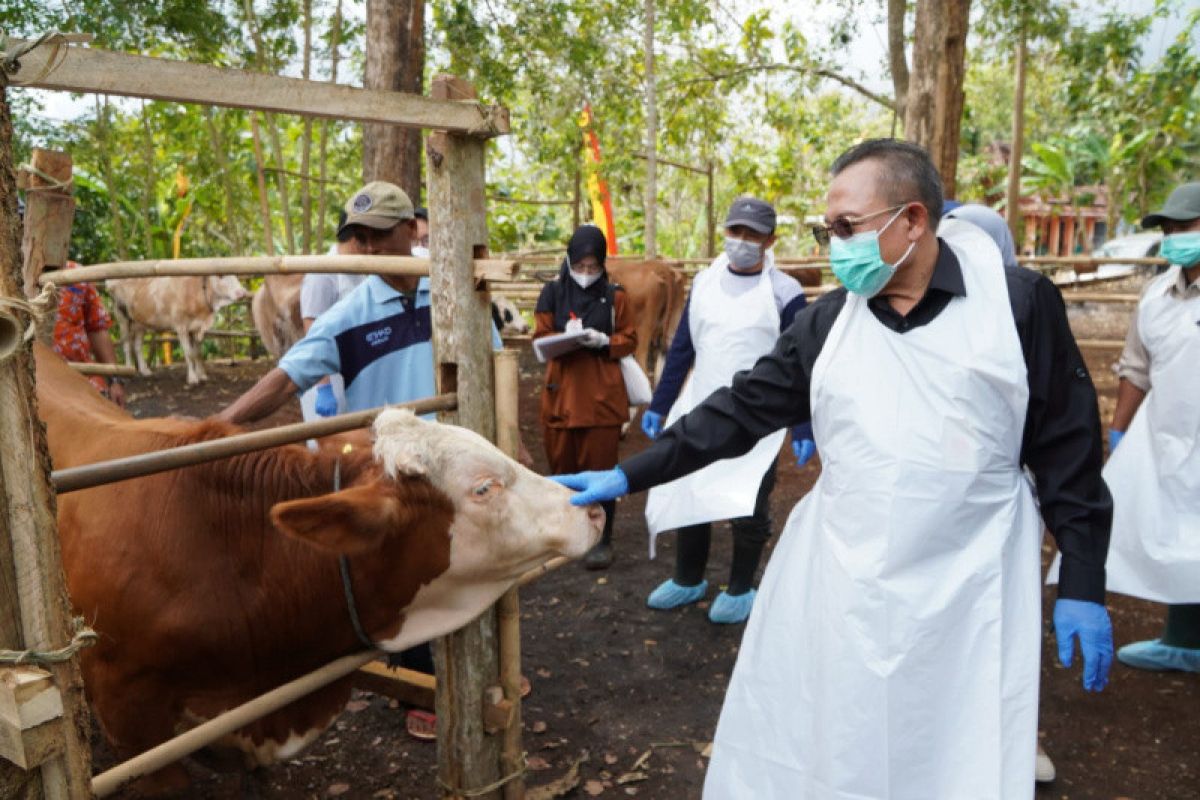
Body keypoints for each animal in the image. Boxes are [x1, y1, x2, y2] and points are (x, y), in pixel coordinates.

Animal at [109, 277, 249, 386]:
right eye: (221, 276)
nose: (242, 292)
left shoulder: (195, 328)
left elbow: (197, 353)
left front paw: (202, 375)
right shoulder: (181, 326)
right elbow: (189, 353)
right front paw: (192, 378)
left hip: (139, 323)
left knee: (137, 346)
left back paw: (145, 371)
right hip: (122, 318)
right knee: (126, 345)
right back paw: (128, 369)